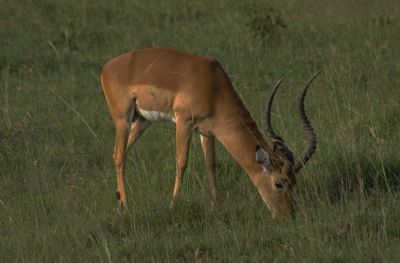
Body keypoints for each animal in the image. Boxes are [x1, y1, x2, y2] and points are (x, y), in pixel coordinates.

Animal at [101, 48, 318, 218]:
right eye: (279, 183)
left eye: (294, 182)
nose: (287, 214)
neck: (213, 85)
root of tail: (106, 68)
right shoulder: (184, 122)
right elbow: (181, 162)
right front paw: (173, 206)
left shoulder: (207, 131)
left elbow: (210, 164)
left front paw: (216, 204)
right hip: (123, 120)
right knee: (119, 156)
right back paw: (126, 206)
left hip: (141, 122)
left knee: (119, 155)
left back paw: (119, 202)